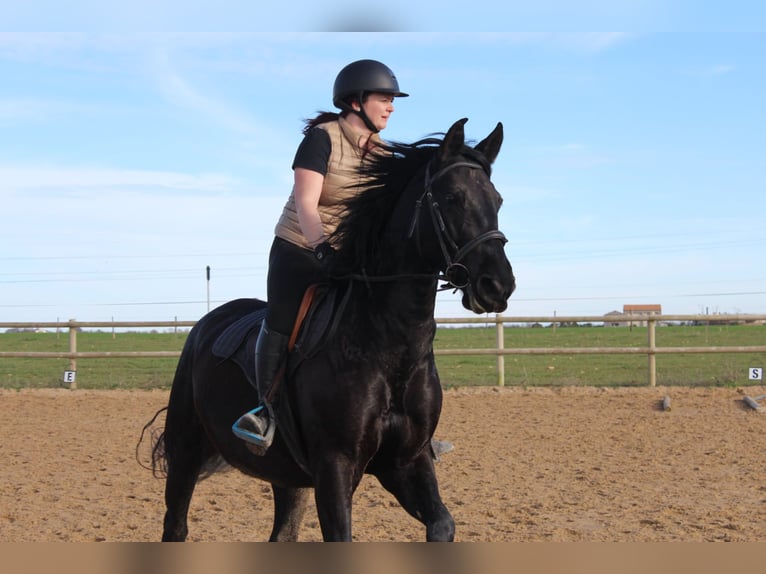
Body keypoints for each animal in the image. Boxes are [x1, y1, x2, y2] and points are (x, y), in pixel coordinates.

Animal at [143, 118, 515, 542]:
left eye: (497, 200)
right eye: (453, 197)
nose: (498, 286)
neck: (388, 347)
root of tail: (207, 324)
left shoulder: (407, 461)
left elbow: (442, 524)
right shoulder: (335, 466)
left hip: (286, 476)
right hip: (185, 453)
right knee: (176, 524)